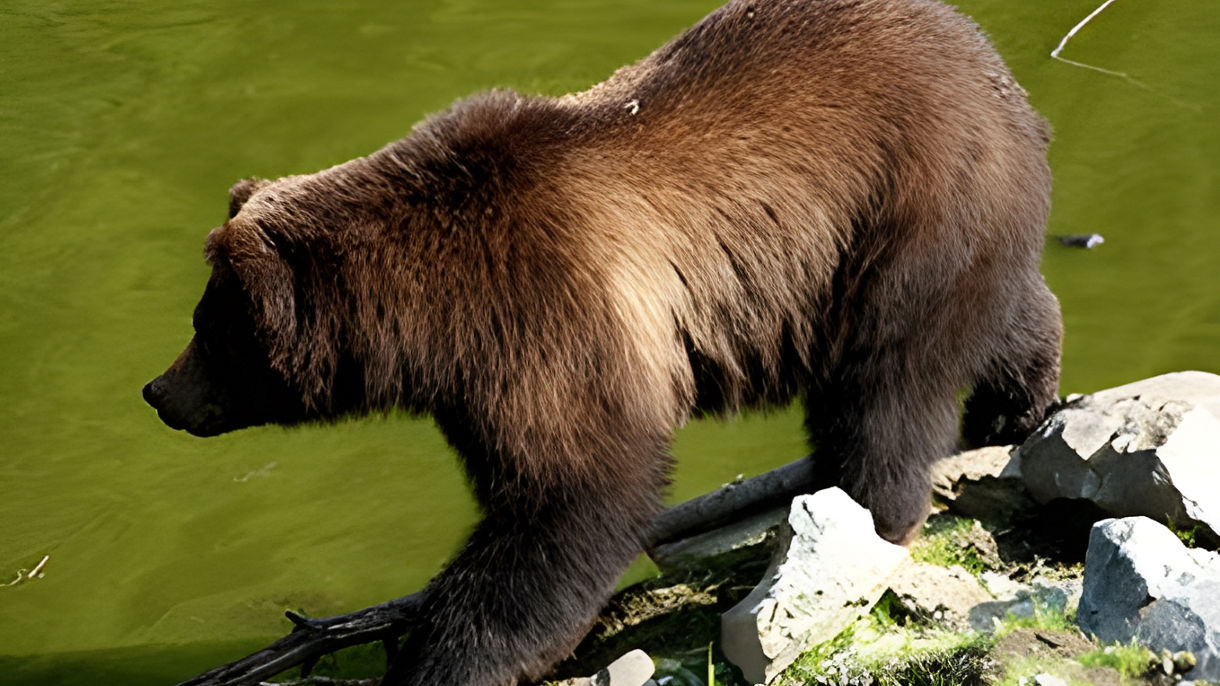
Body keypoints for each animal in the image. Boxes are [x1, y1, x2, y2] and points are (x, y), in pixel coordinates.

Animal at [142, 0, 1062, 683]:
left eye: (202, 328)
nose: (158, 391)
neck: (423, 318)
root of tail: (991, 60)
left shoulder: (544, 313)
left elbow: (575, 497)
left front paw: (448, 657)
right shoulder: (477, 379)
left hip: (903, 210)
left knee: (886, 386)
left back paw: (865, 511)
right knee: (1003, 312)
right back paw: (1015, 405)